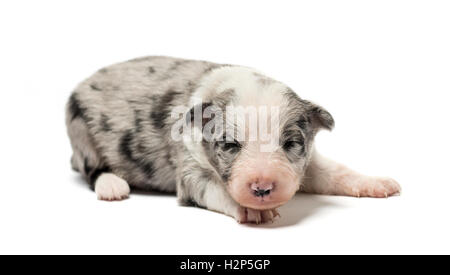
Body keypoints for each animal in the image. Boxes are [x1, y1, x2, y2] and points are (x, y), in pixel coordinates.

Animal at [65, 56, 400, 224]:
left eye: (291, 144)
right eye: (229, 145)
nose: (262, 189)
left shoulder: (307, 163)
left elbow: (334, 171)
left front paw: (378, 183)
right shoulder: (189, 170)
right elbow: (213, 187)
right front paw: (254, 211)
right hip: (79, 129)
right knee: (90, 168)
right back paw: (112, 185)